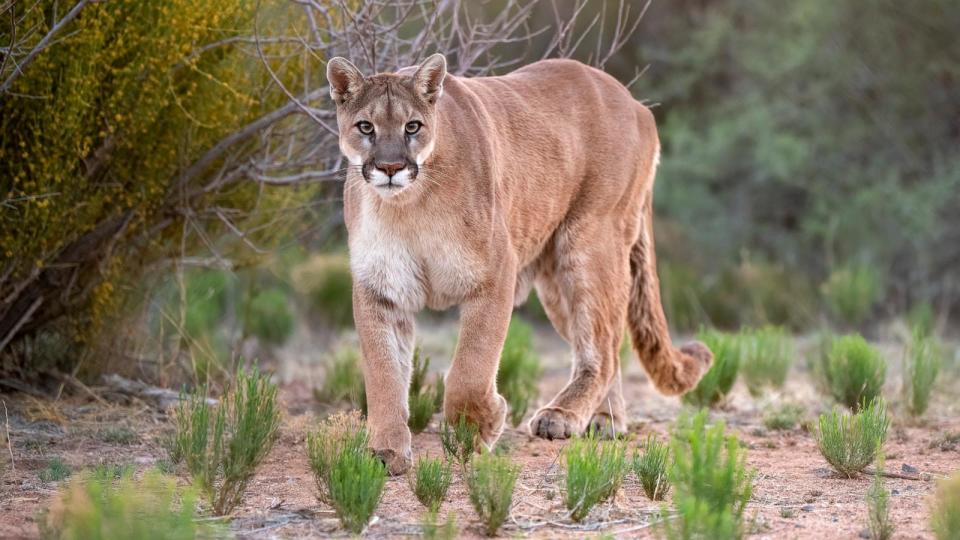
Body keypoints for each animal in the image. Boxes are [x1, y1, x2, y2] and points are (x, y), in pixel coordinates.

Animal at [330, 53, 712, 472]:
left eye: (412, 126)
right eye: (366, 127)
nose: (390, 168)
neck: (408, 206)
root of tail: (635, 103)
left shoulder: (495, 274)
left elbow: (471, 367)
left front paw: (478, 429)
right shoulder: (380, 289)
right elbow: (383, 373)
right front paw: (385, 451)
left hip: (590, 243)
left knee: (604, 348)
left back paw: (562, 416)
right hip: (557, 284)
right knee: (605, 341)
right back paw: (604, 420)